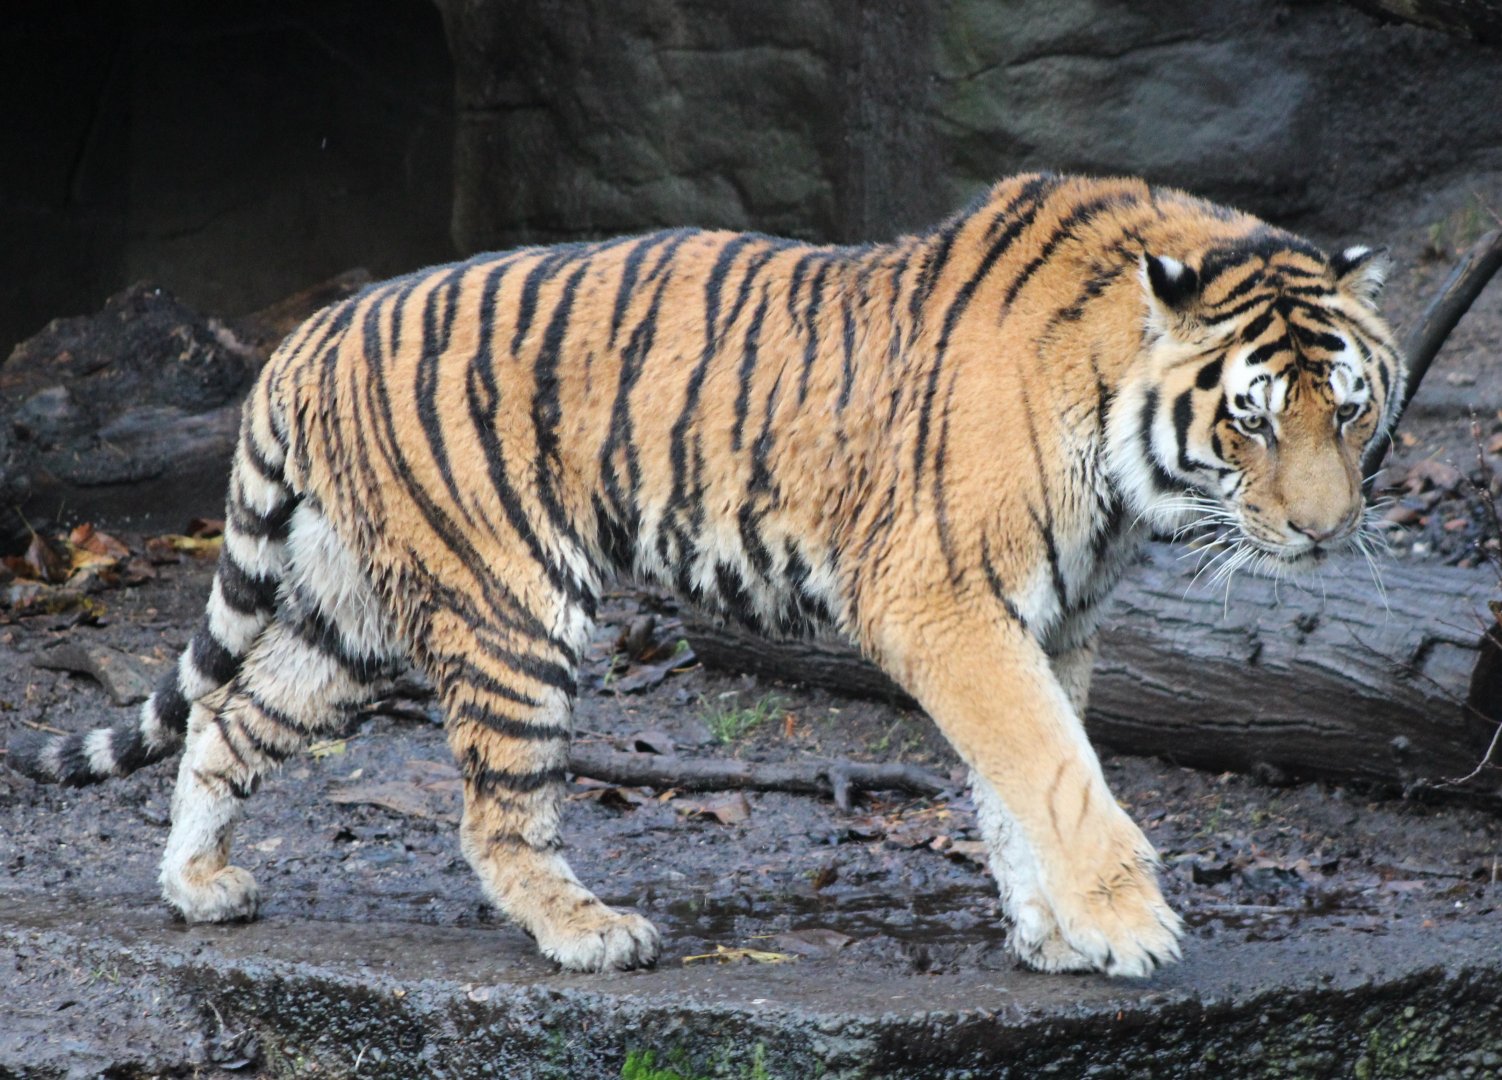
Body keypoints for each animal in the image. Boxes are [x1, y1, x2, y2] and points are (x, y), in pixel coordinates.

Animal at [8, 173, 1403, 977]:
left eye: (1348, 408)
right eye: (1250, 420)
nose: (1326, 532)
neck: (1119, 448)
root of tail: (308, 331)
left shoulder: (1047, 624)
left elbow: (1020, 779)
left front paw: (1054, 936)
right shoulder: (943, 603)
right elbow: (1057, 774)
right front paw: (1124, 926)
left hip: (351, 604)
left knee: (234, 716)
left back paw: (198, 886)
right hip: (511, 607)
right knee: (492, 811)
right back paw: (589, 934)